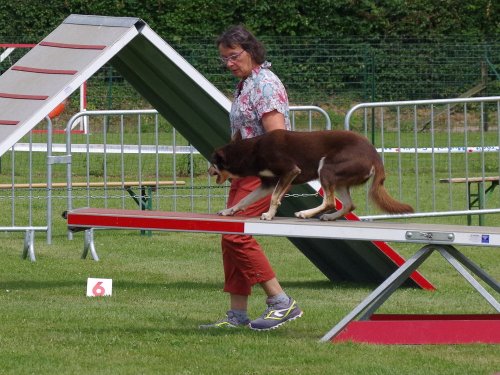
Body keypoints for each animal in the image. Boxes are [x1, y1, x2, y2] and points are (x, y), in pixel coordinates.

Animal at [208, 129, 414, 220]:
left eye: (212, 162)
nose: (208, 171)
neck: (252, 150)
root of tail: (375, 156)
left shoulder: (290, 171)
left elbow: (274, 197)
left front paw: (269, 214)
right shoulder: (268, 183)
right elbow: (245, 200)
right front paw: (229, 210)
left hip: (326, 168)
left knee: (329, 202)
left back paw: (305, 213)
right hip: (338, 181)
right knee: (349, 204)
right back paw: (330, 217)